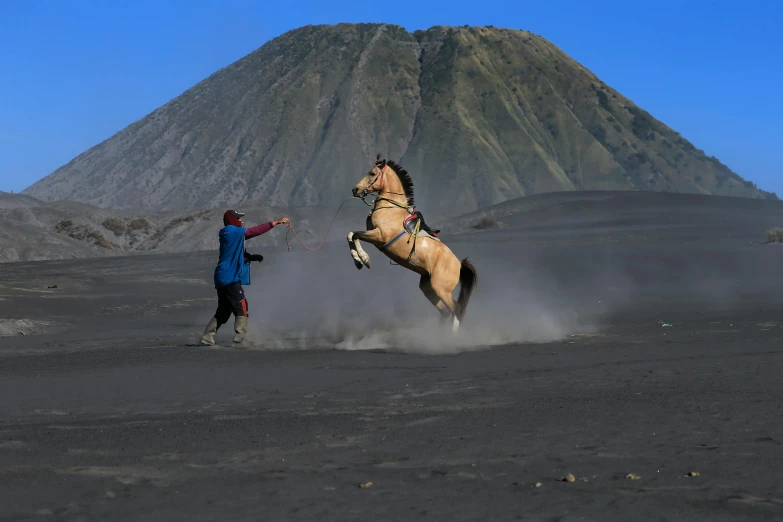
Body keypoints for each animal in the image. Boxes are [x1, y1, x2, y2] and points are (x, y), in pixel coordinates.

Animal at [348, 152, 478, 332]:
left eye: (372, 173)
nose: (356, 190)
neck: (391, 209)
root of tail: (459, 265)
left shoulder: (379, 236)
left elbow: (354, 235)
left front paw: (364, 260)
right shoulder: (372, 234)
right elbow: (351, 235)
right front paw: (358, 261)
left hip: (441, 289)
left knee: (456, 310)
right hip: (427, 287)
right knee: (445, 312)